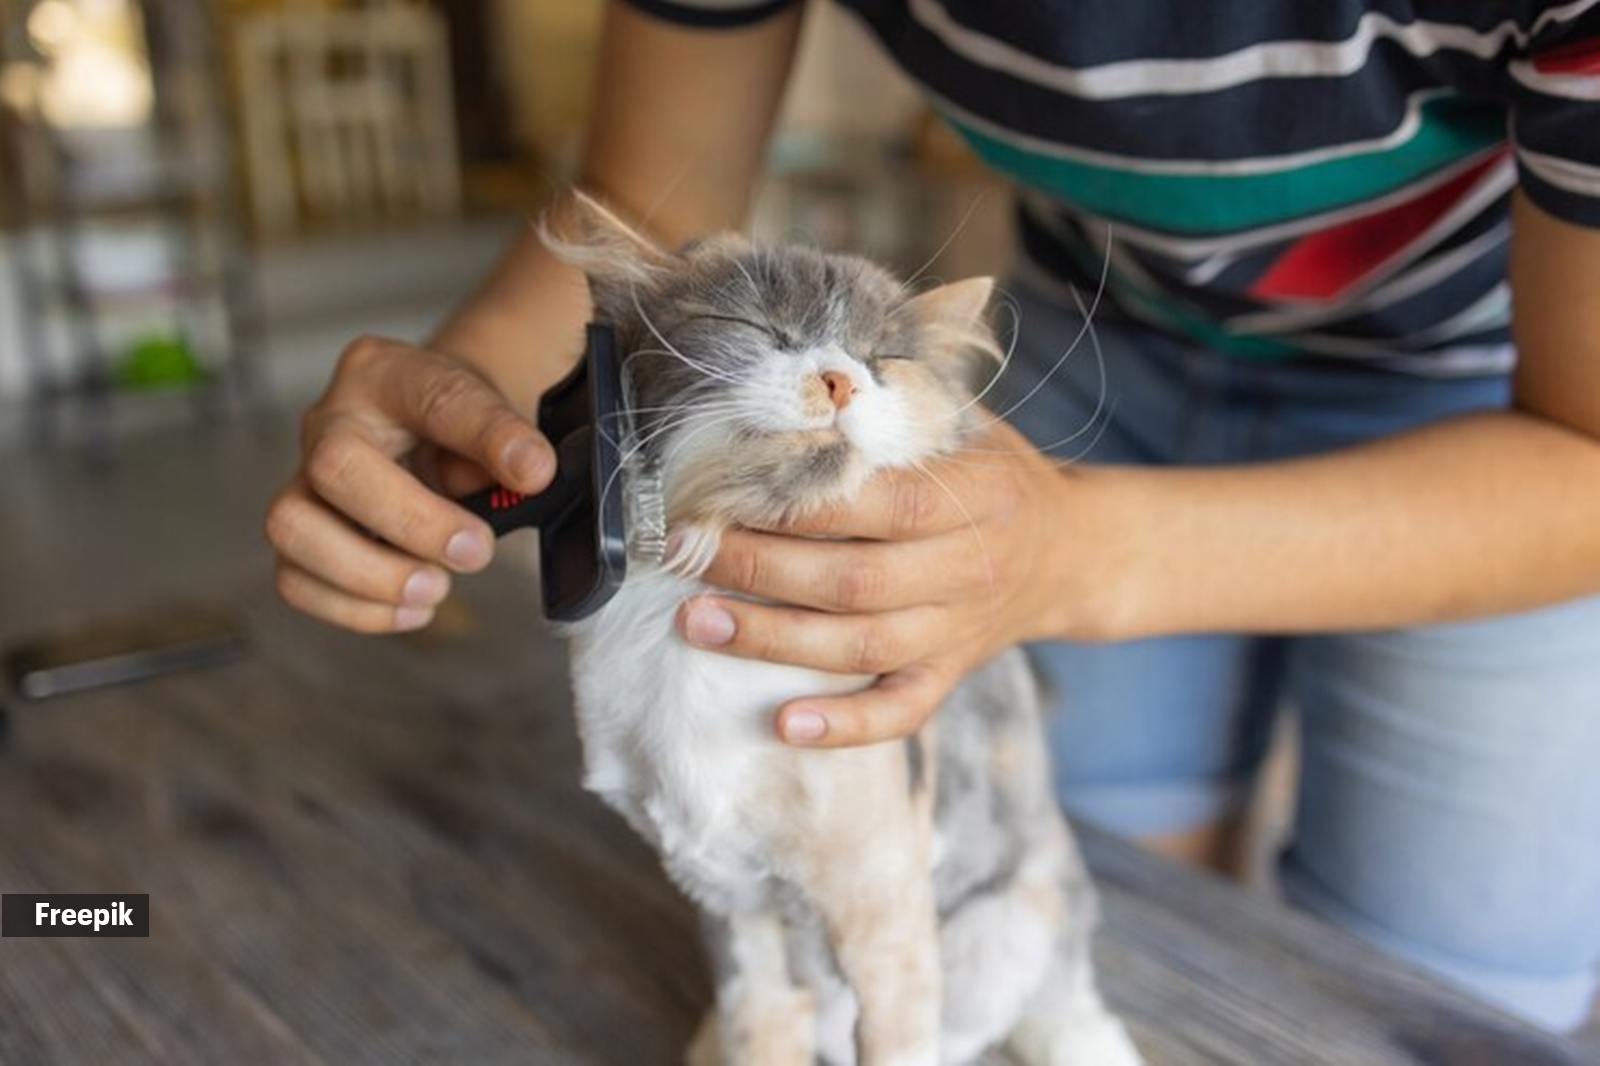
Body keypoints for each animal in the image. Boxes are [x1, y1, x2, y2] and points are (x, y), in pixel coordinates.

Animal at [550, 195, 1139, 1062]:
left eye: (881, 359)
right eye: (756, 328)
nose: (837, 379)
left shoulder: (884, 911)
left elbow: (899, 1041)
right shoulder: (732, 905)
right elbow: (759, 1031)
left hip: (1007, 923)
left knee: (1054, 1005)